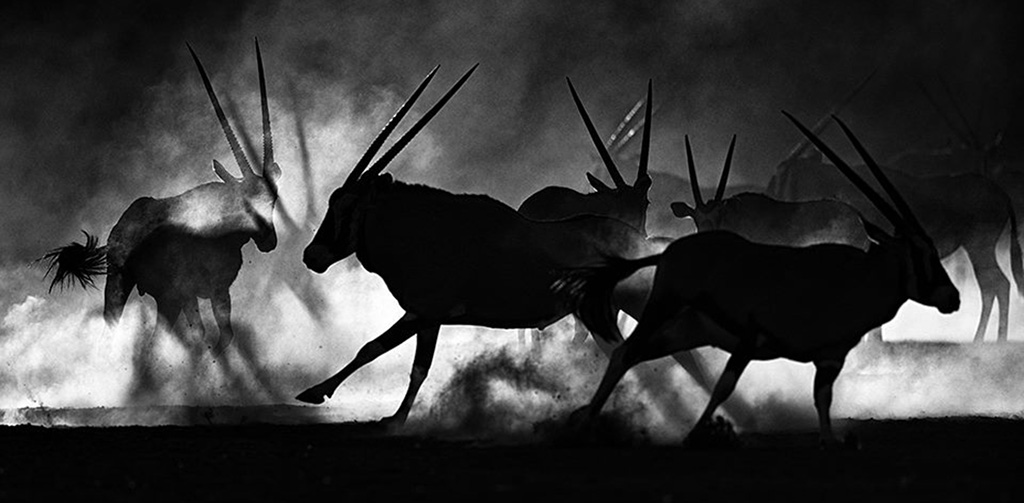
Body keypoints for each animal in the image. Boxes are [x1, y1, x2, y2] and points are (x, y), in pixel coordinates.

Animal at [42, 40, 281, 359]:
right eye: (244, 202)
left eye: (273, 199)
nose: (268, 240)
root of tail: (118, 233)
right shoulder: (200, 292)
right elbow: (214, 336)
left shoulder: (208, 292)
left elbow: (218, 335)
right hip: (142, 292)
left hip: (164, 297)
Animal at [295, 69, 680, 426]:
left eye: (346, 206)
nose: (312, 256)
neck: (425, 227)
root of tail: (639, 241)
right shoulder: (423, 315)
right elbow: (391, 356)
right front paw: (363, 406)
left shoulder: (427, 313)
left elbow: (392, 355)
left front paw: (360, 407)